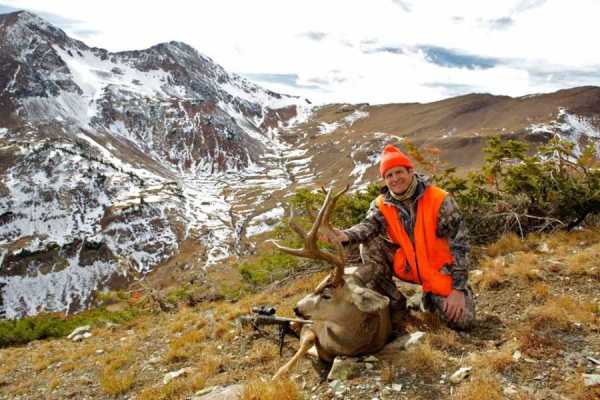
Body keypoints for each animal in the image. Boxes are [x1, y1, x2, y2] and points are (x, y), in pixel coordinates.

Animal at [270, 186, 392, 380]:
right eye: (317, 288)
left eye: (327, 295)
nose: (296, 308)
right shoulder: (313, 326)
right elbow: (308, 341)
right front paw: (278, 374)